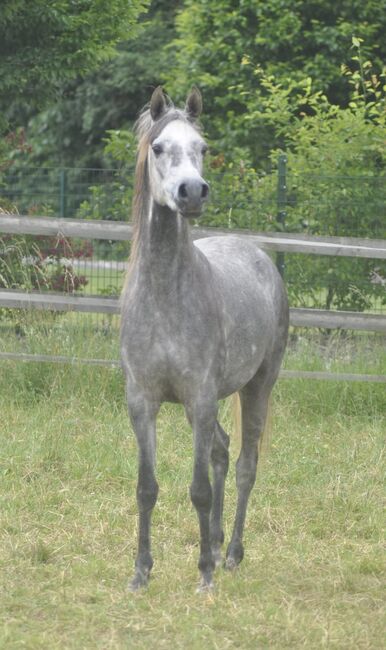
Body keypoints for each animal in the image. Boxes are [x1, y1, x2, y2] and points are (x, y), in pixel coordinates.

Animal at [120, 87, 290, 592]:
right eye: (158, 148)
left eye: (203, 147)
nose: (192, 192)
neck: (164, 295)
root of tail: (258, 255)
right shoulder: (143, 402)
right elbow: (147, 487)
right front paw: (141, 573)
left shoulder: (199, 397)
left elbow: (198, 489)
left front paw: (205, 578)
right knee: (221, 450)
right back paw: (213, 544)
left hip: (257, 386)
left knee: (244, 466)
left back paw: (229, 553)